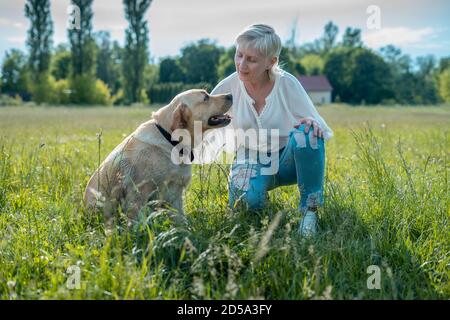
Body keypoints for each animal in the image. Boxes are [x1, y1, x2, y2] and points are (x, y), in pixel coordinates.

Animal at [83, 89, 234, 231]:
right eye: (205, 97)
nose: (230, 95)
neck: (170, 140)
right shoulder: (139, 194)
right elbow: (138, 223)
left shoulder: (175, 193)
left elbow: (180, 219)